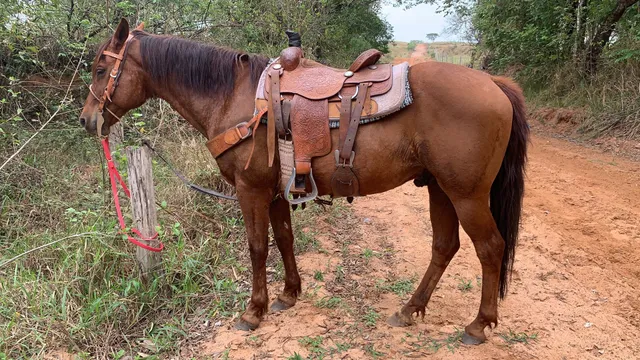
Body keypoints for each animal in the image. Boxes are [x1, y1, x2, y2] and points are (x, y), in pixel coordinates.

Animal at [81, 19, 528, 344]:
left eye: (101, 69)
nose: (87, 120)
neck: (234, 98)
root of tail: (494, 84)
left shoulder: (250, 191)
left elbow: (258, 247)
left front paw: (253, 311)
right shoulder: (277, 191)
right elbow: (284, 238)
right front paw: (288, 295)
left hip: (467, 194)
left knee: (490, 248)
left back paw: (479, 325)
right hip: (439, 187)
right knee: (444, 246)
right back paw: (409, 309)